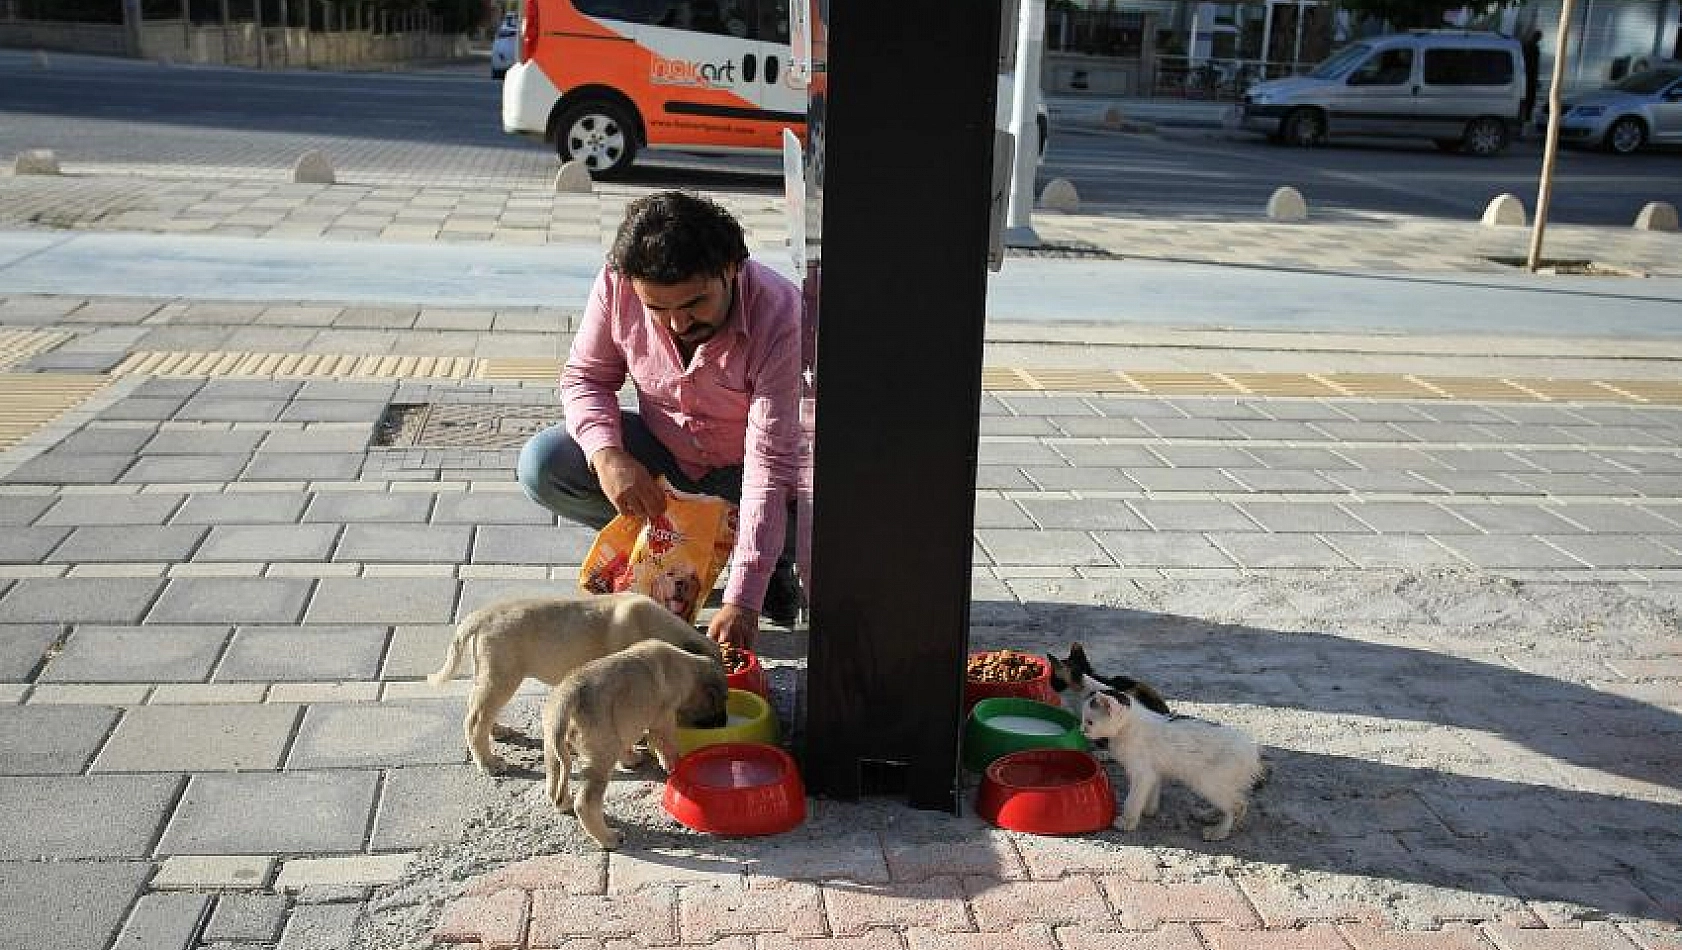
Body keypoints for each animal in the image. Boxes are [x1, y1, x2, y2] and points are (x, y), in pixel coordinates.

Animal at [423, 591, 719, 770]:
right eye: (711, 696)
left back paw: (497, 731)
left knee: (480, 711)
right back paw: (488, 762)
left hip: (490, 676)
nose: (718, 723)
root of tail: (479, 618)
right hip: (501, 677)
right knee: (475, 719)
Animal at [544, 632, 729, 847]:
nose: (724, 723)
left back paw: (564, 803)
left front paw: (631, 759)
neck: (687, 666)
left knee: (554, 781)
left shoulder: (626, 725)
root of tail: (568, 695)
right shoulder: (663, 719)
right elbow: (666, 745)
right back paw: (609, 838)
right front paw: (673, 764)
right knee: (585, 804)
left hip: (554, 749)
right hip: (601, 756)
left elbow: (629, 744)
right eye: (720, 702)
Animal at [1076, 689, 1264, 837]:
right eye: (1083, 720)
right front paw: (1149, 810)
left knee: (1237, 805)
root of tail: (1252, 752)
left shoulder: (1142, 774)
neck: (1128, 727)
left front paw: (1128, 821)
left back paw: (1219, 831)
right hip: (1218, 784)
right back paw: (1208, 815)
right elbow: (1151, 791)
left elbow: (1133, 799)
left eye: (1089, 722)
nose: (1081, 730)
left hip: (1207, 782)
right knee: (1232, 801)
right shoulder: (1153, 772)